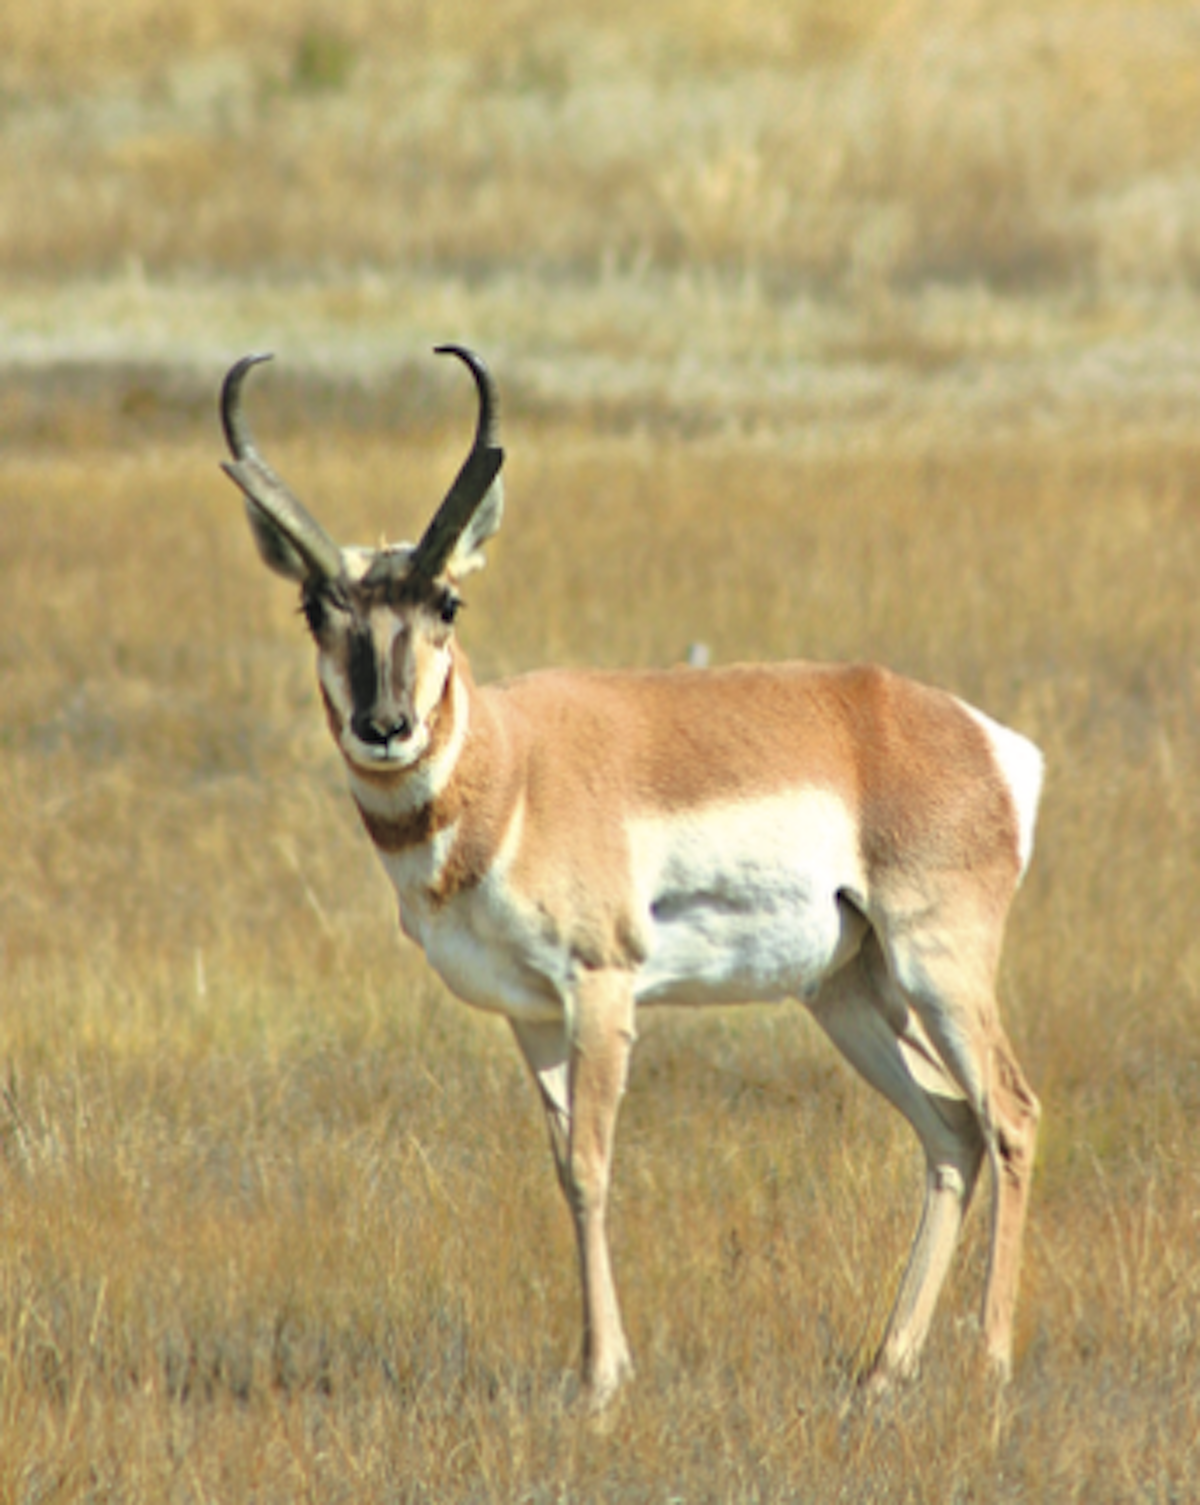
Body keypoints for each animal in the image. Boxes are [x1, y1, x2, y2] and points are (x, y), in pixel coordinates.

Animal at [219, 345, 1043, 1412]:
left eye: (446, 602)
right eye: (318, 608)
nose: (386, 726)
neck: (514, 766)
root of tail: (975, 737)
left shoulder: (602, 990)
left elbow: (594, 1163)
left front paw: (604, 1374)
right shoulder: (530, 1014)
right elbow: (561, 1164)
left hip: (937, 968)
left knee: (1009, 1113)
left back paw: (989, 1364)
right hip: (849, 992)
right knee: (949, 1130)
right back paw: (883, 1369)